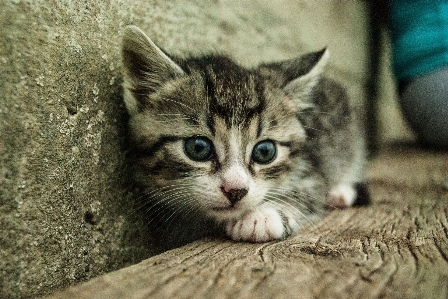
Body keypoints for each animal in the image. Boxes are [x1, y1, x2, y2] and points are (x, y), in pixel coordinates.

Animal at [120, 25, 368, 246]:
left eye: (265, 152)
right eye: (198, 147)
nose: (235, 190)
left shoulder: (311, 166)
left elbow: (310, 190)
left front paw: (263, 214)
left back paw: (339, 193)